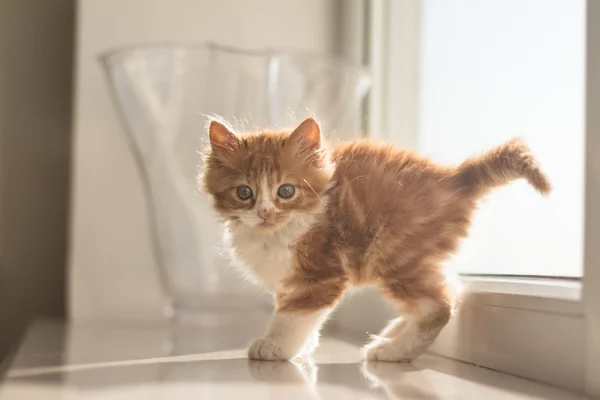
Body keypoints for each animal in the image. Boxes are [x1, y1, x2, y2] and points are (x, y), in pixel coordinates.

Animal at [204, 115, 552, 362]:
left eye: (286, 191)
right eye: (244, 193)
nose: (264, 212)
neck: (277, 233)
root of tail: (454, 179)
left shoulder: (320, 276)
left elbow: (293, 317)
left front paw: (276, 346)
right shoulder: (290, 281)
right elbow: (301, 316)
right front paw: (303, 347)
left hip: (395, 252)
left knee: (438, 307)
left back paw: (393, 351)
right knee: (452, 291)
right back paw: (394, 334)